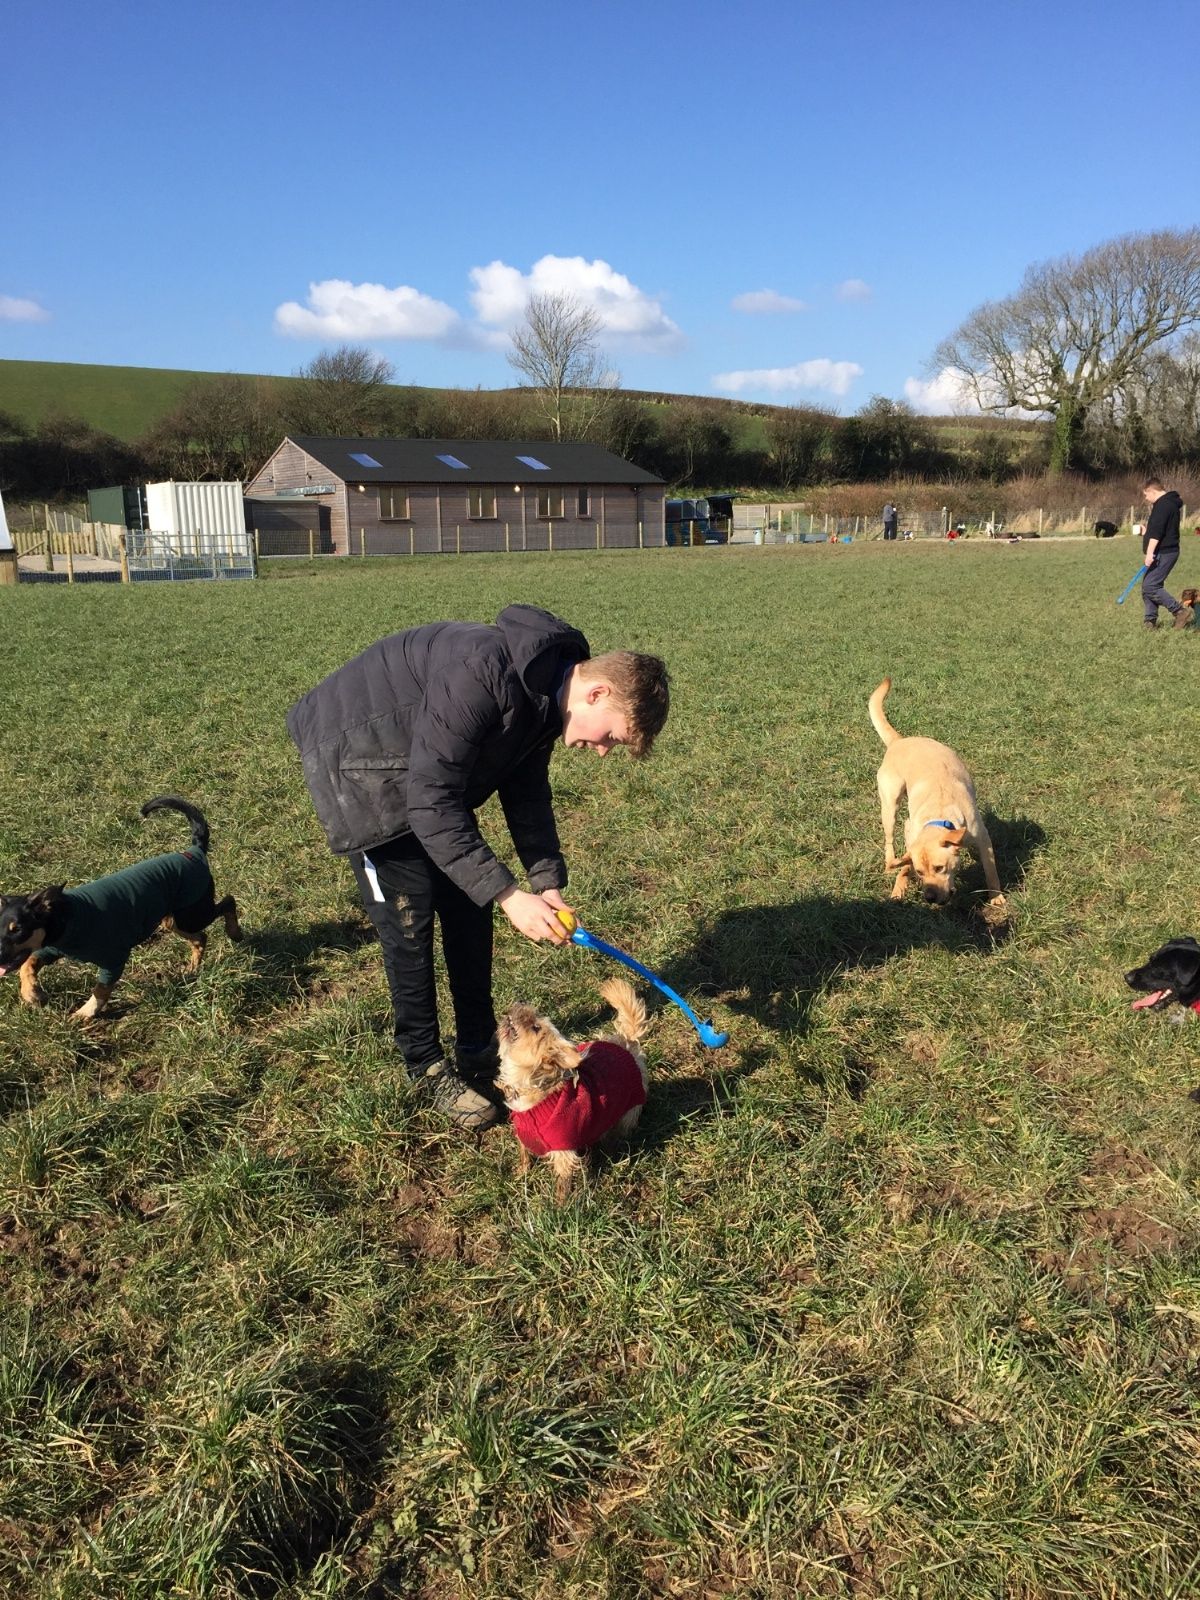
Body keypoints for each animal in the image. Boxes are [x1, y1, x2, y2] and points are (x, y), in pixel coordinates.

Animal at [0, 796, 242, 1019]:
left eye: (18, 929)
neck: (67, 916)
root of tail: (194, 850)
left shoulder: (114, 959)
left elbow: (101, 990)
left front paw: (84, 1014)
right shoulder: (51, 949)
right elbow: (28, 963)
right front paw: (33, 995)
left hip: (192, 913)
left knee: (228, 902)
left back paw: (234, 932)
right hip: (173, 919)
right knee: (200, 937)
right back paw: (192, 969)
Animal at [496, 978, 649, 1202]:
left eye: (535, 1027)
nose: (521, 1001)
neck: (532, 1091)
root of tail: (627, 1043)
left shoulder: (564, 1153)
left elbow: (563, 1183)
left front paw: (560, 1205)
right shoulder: (524, 1138)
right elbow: (524, 1156)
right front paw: (520, 1174)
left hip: (627, 1112)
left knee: (619, 1132)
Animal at [869, 678, 1005, 912]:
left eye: (940, 868)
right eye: (920, 872)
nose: (930, 897)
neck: (940, 814)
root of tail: (899, 741)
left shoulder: (982, 837)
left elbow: (991, 871)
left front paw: (996, 897)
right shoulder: (910, 832)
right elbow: (906, 862)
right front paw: (899, 888)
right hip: (890, 804)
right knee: (889, 839)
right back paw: (890, 862)